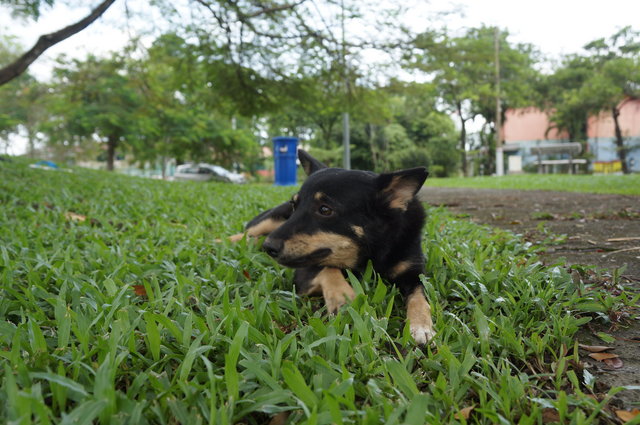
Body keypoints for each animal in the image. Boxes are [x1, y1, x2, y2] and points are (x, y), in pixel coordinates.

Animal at [226, 151, 436, 342]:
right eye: (295, 205)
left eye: (325, 209)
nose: (268, 247)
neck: (371, 251)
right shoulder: (303, 272)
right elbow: (327, 268)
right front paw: (342, 296)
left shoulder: (413, 274)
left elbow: (420, 298)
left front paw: (421, 325)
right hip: (268, 220)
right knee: (245, 233)